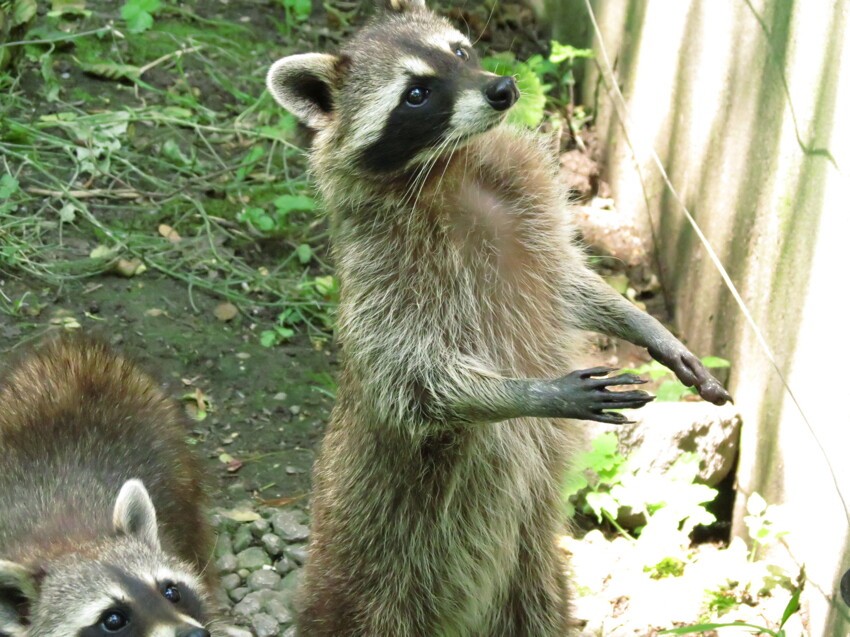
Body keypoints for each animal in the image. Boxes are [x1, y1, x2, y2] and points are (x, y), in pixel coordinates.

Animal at [266, 2, 728, 632]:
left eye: (460, 52)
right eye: (416, 93)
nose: (503, 89)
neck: (451, 164)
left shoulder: (532, 211)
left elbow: (571, 283)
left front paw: (648, 327)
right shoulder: (380, 271)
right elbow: (408, 378)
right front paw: (528, 393)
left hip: (528, 569)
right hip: (373, 565)